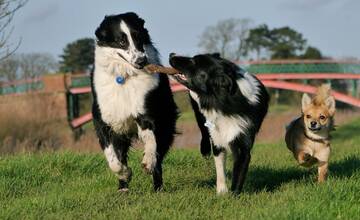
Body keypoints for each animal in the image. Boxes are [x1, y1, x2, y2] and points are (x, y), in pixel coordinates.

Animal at [92, 12, 178, 191]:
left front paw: (147, 162)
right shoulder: (103, 121)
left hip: (166, 122)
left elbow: (151, 142)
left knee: (159, 155)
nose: (142, 61)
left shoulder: (146, 113)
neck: (124, 77)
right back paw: (123, 187)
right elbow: (113, 159)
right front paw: (125, 174)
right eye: (121, 41)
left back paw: (157, 187)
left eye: (138, 37)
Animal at [170, 53, 268, 194]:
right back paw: (204, 150)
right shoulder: (217, 135)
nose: (171, 54)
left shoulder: (243, 140)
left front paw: (234, 195)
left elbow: (238, 173)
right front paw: (222, 192)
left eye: (194, 61)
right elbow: (220, 166)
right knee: (204, 131)